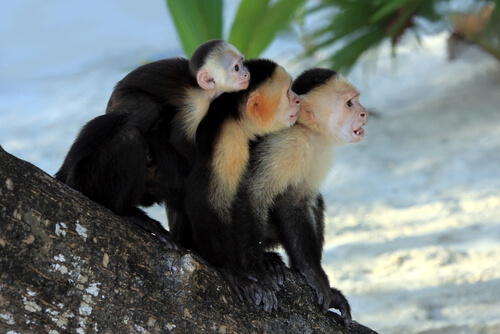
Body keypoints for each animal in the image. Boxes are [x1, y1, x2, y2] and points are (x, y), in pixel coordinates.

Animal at [184, 58, 300, 314]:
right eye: (288, 92)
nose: (299, 99)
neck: (237, 119)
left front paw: (261, 262)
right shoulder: (229, 141)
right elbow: (210, 200)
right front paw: (234, 270)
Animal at [231, 68, 368, 324]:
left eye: (357, 100)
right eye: (349, 104)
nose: (364, 113)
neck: (306, 131)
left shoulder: (319, 152)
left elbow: (297, 202)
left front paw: (310, 272)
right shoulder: (286, 145)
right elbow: (252, 193)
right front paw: (258, 269)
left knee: (315, 202)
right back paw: (267, 260)